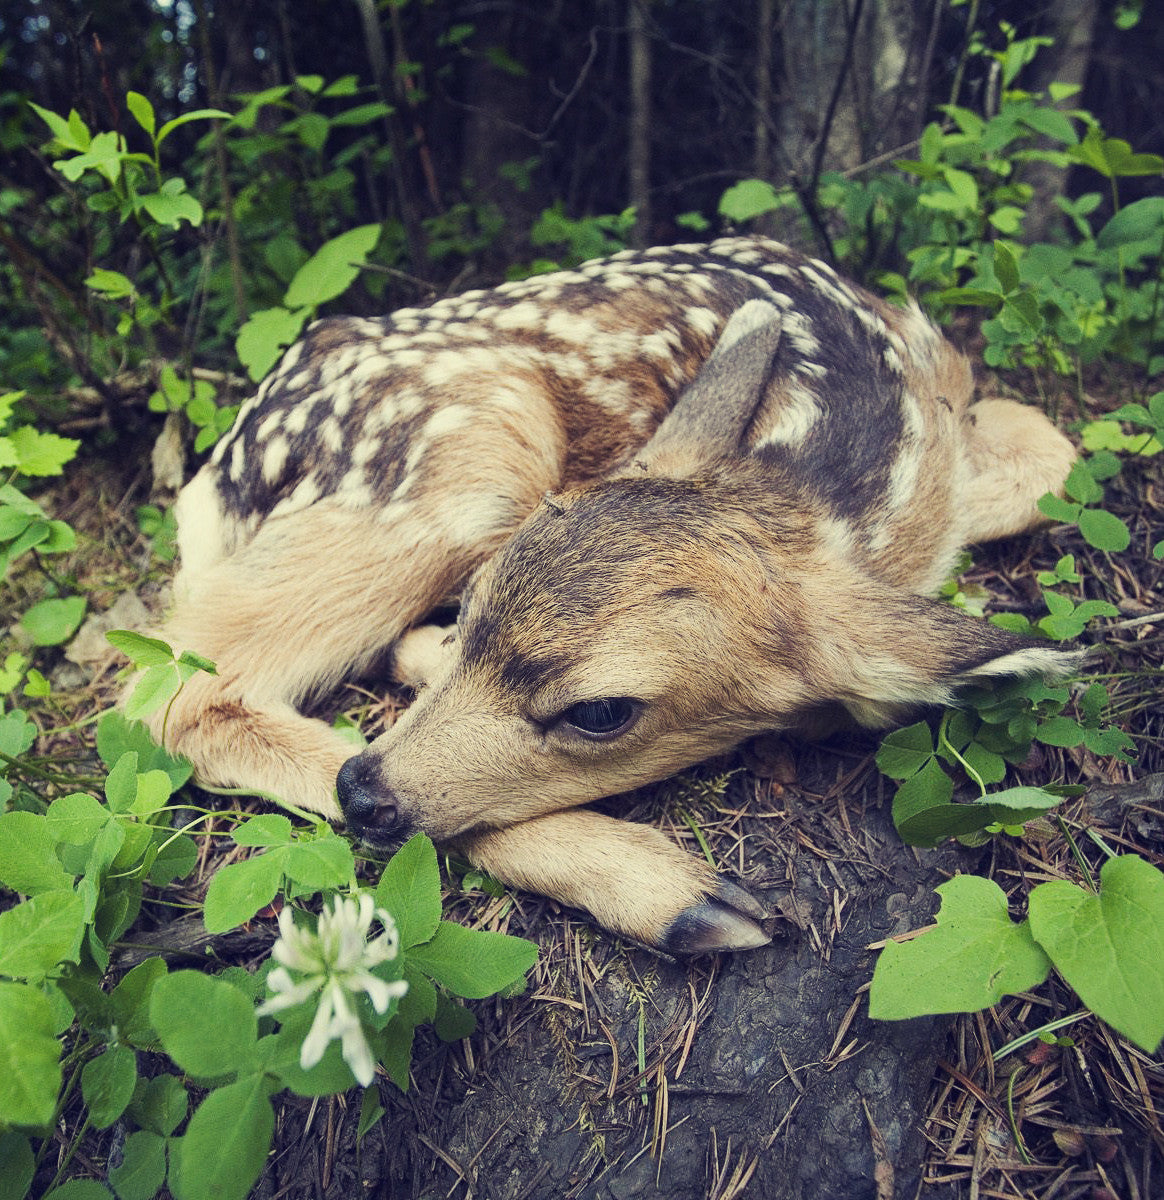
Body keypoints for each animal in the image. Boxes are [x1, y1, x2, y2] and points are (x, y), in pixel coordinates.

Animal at [142, 236, 1079, 954]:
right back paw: (679, 895)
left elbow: (1051, 452)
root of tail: (215, 480)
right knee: (176, 698)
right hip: (480, 439)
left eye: (601, 713)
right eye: (474, 602)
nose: (363, 794)